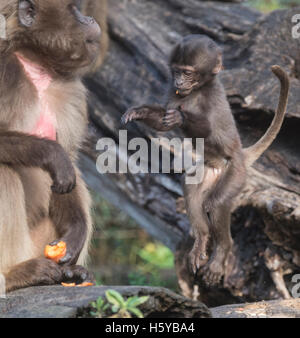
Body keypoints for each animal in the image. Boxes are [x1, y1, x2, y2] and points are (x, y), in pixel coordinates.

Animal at [0, 0, 104, 290]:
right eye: (74, 9)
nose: (90, 19)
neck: (37, 70)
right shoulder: (4, 72)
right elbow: (59, 159)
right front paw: (51, 154)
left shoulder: (69, 91)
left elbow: (69, 165)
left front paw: (75, 231)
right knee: (4, 171)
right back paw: (13, 274)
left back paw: (71, 272)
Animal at [122, 35, 290, 286]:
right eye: (176, 71)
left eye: (188, 72)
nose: (179, 80)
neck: (197, 91)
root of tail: (240, 155)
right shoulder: (174, 91)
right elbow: (164, 122)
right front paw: (140, 111)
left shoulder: (211, 96)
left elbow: (207, 128)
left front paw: (181, 117)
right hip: (210, 173)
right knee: (191, 187)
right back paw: (201, 239)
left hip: (235, 173)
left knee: (216, 203)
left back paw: (222, 252)